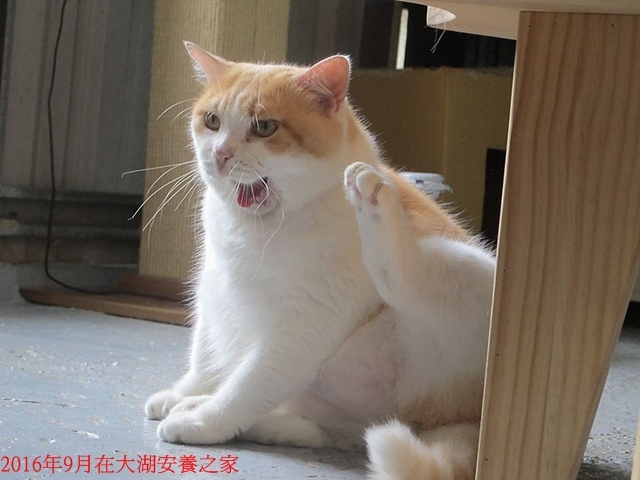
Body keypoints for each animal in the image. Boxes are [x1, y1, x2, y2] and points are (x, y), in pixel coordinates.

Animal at [145, 42, 496, 480]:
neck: (262, 230)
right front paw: (186, 394)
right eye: (212, 121)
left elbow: (249, 383)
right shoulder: (214, 288)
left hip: (466, 270)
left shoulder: (304, 324)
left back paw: (373, 195)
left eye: (264, 127)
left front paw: (205, 421)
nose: (221, 155)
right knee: (339, 431)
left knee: (404, 279)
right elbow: (206, 356)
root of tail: (464, 418)